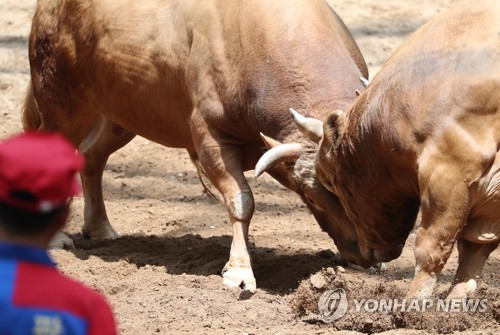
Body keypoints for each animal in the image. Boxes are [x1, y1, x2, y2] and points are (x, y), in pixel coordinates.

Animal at [23, 0, 368, 292]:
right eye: (310, 196)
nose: (364, 254)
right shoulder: (210, 138)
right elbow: (241, 201)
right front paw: (239, 271)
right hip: (61, 107)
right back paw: (55, 237)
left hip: (121, 116)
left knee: (92, 156)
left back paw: (99, 227)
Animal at [286, 0, 500, 300]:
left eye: (329, 180)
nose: (363, 253)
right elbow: (473, 250)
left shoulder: (449, 173)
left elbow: (432, 247)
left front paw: (414, 303)